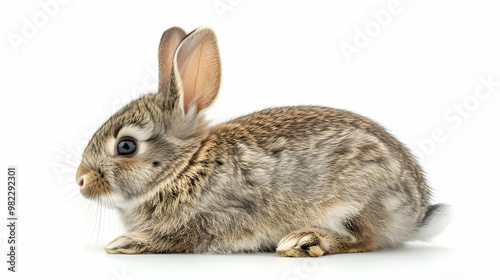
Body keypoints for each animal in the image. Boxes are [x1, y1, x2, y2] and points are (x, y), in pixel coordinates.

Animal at [75, 27, 454, 258]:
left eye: (126, 146)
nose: (80, 180)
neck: (184, 167)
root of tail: (415, 214)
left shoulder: (218, 218)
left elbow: (181, 238)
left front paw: (126, 243)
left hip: (355, 200)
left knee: (365, 240)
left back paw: (304, 241)